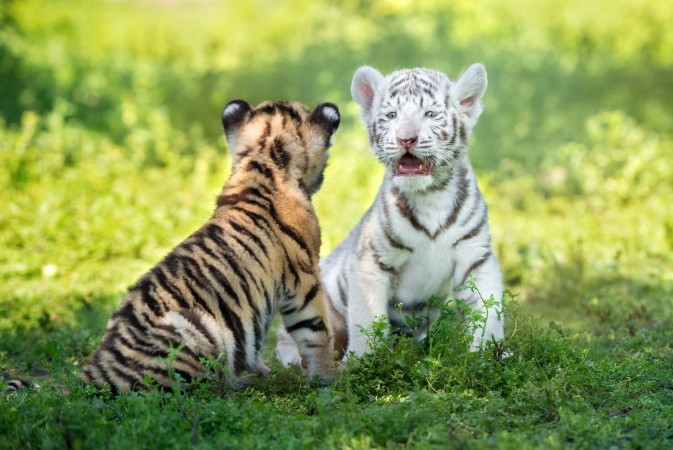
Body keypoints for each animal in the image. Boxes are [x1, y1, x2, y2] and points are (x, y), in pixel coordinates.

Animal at [80, 99, 341, 393]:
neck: (262, 162)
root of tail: (95, 372)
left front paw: (264, 372)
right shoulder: (304, 281)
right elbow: (317, 333)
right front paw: (329, 378)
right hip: (195, 326)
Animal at [276, 64, 504, 363]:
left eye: (430, 114)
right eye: (391, 115)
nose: (406, 138)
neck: (431, 196)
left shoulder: (476, 256)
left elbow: (488, 312)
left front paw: (489, 356)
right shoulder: (371, 261)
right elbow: (367, 320)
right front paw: (361, 363)